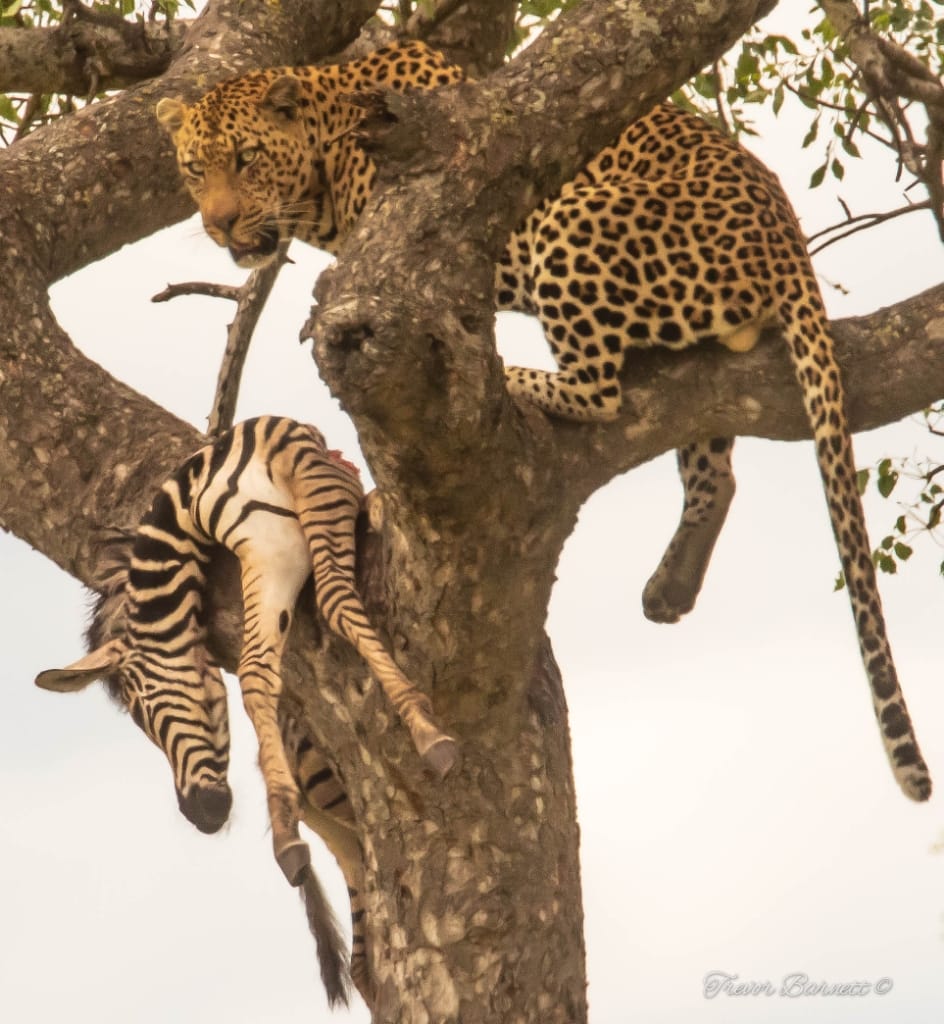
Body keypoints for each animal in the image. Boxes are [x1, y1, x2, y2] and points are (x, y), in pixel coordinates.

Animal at [36, 415, 456, 1007]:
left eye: (141, 714)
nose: (200, 814)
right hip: (287, 538)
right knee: (323, 607)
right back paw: (425, 737)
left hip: (275, 544)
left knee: (265, 665)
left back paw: (291, 832)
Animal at [156, 40, 930, 810]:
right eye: (195, 170)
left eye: (247, 159)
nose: (219, 224)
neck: (326, 156)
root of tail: (790, 239)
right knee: (715, 461)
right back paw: (674, 581)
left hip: (574, 222)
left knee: (602, 391)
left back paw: (522, 384)